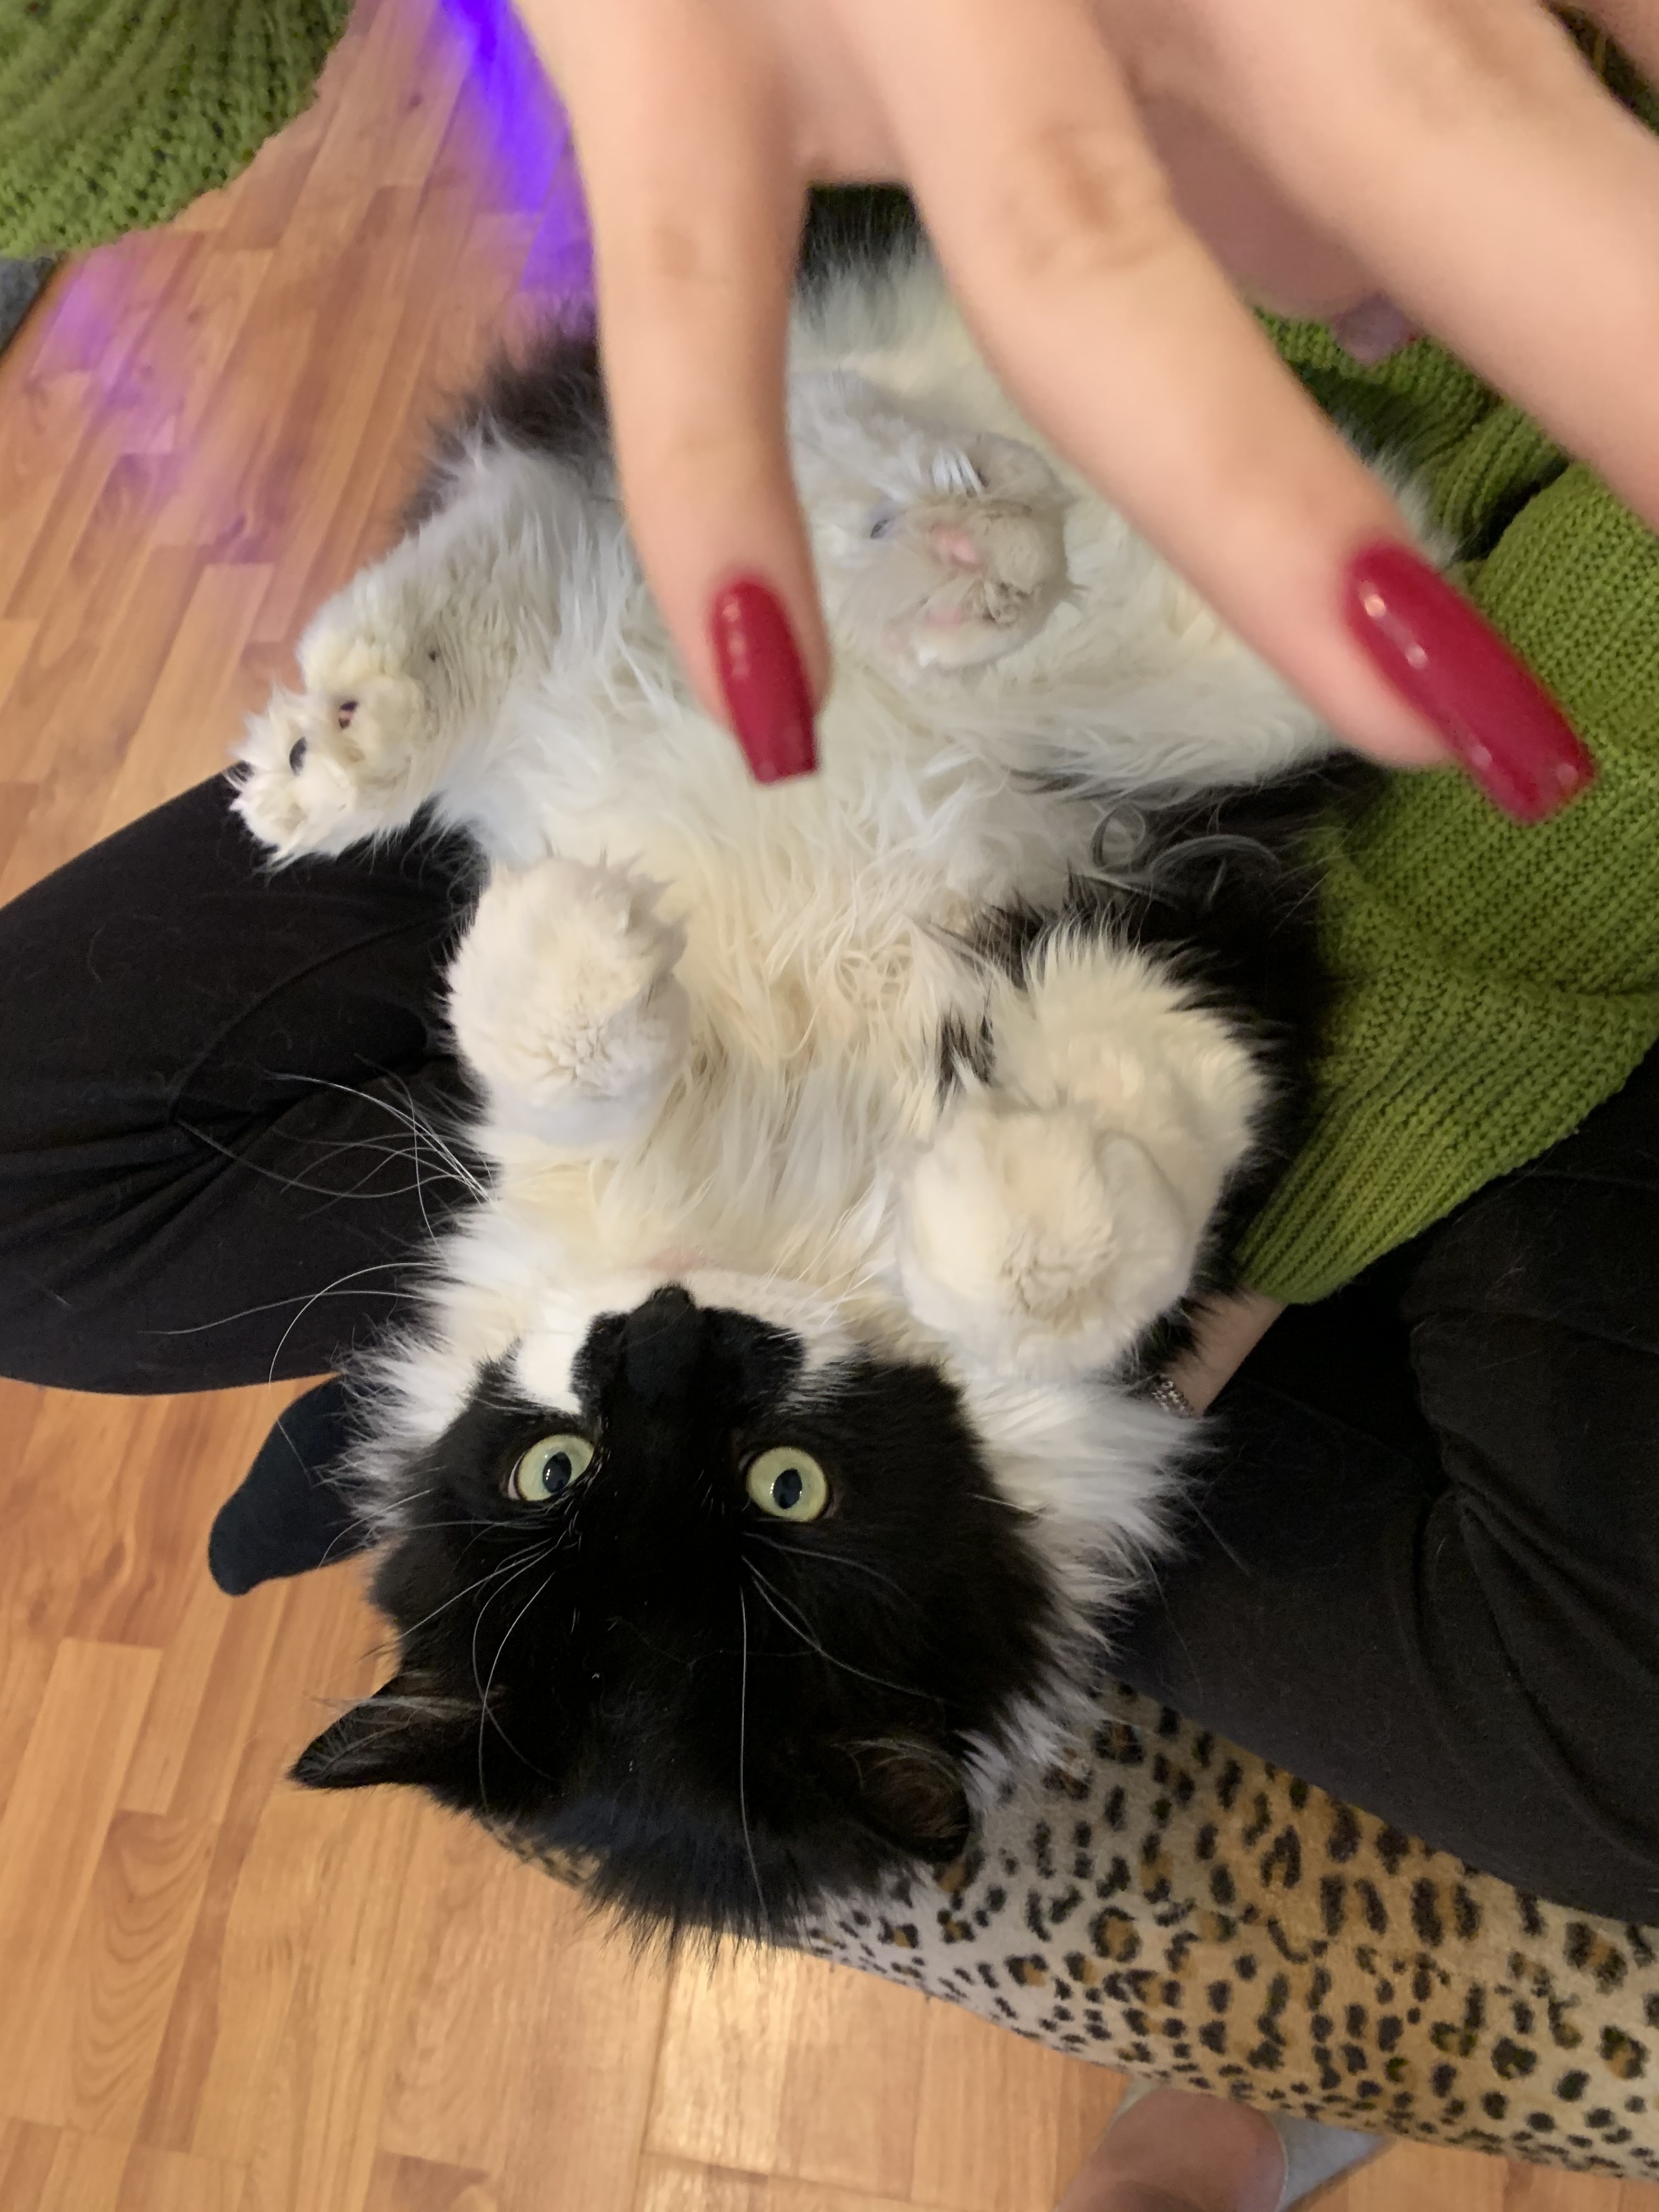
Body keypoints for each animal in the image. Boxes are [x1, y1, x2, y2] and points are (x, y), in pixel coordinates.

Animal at [233, 191, 1351, 1941]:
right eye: (556, 1470)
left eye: (786, 1494)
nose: (662, 1335)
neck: (774, 1220)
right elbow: (565, 1059)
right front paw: (580, 938)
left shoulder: (1177, 939)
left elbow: (1093, 1217)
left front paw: (981, 1176)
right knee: (585, 529)